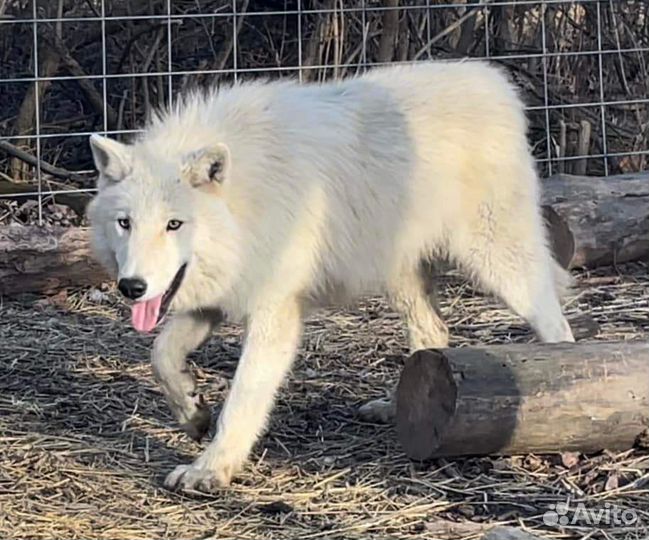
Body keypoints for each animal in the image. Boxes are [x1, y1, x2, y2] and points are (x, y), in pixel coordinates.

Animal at [86, 61, 572, 492]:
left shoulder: (274, 312)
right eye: (125, 223)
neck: (246, 200)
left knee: (558, 327)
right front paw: (192, 412)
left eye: (174, 224)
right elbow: (161, 355)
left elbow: (243, 399)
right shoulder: (216, 297)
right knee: (433, 331)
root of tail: (493, 80)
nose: (132, 287)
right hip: (399, 275)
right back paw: (395, 406)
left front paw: (210, 469)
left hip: (499, 264)